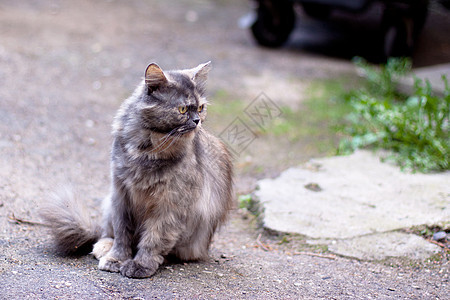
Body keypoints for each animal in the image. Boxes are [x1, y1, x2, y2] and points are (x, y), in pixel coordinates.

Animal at [40, 61, 234, 278]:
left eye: (200, 108)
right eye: (183, 109)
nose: (196, 121)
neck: (147, 151)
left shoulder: (169, 206)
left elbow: (153, 240)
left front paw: (140, 265)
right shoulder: (121, 194)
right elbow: (122, 235)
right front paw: (116, 259)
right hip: (109, 205)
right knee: (106, 234)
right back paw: (103, 248)